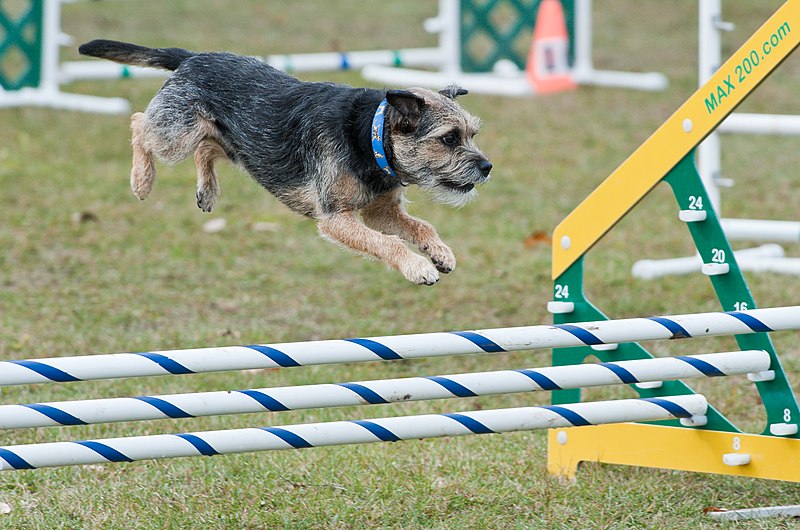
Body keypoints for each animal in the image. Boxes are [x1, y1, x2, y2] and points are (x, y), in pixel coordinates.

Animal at [78, 40, 490, 284]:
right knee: (139, 123)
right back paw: (141, 180)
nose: (487, 167)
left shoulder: (380, 212)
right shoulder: (335, 219)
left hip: (232, 143)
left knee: (206, 149)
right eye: (449, 138)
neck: (367, 137)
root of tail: (192, 57)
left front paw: (440, 253)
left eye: (472, 133)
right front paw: (418, 266)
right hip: (175, 135)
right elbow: (387, 243)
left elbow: (421, 226)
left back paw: (207, 191)